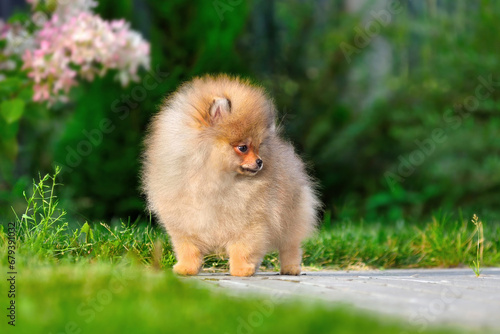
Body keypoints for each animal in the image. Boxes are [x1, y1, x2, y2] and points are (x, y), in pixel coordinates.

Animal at [143, 74, 318, 276]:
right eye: (243, 148)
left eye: (258, 146)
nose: (260, 162)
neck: (211, 179)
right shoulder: (184, 222)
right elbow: (188, 248)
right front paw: (186, 268)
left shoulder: (249, 223)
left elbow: (243, 248)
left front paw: (241, 269)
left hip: (290, 218)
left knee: (290, 246)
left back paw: (290, 268)